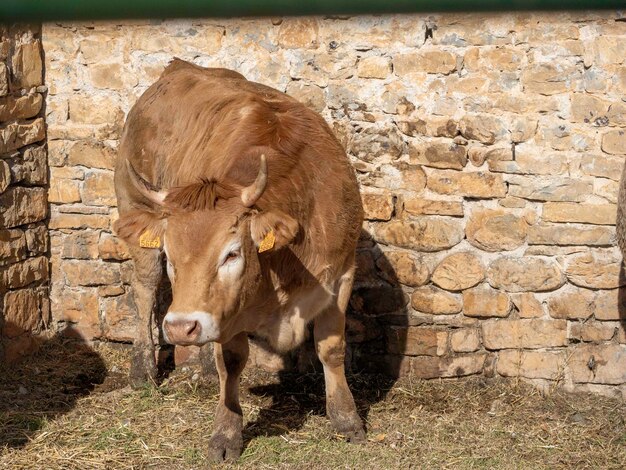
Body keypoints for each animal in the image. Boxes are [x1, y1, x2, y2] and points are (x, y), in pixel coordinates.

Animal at [114, 59, 364, 462]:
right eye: (172, 255)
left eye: (232, 253)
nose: (181, 327)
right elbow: (231, 363)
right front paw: (226, 433)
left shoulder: (341, 273)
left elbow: (331, 347)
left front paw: (346, 420)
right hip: (133, 210)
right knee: (145, 290)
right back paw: (142, 370)